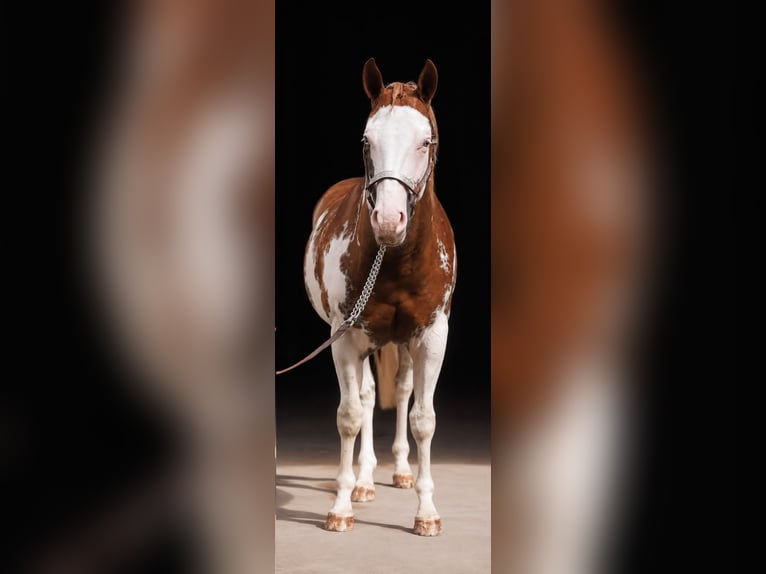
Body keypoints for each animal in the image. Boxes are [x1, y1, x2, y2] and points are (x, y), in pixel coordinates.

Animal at [300, 58, 456, 536]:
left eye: (426, 141)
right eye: (367, 140)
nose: (388, 220)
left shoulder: (431, 336)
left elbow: (424, 419)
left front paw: (427, 512)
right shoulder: (345, 338)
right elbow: (350, 414)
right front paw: (341, 507)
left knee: (402, 391)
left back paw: (400, 472)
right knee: (368, 397)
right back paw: (363, 481)